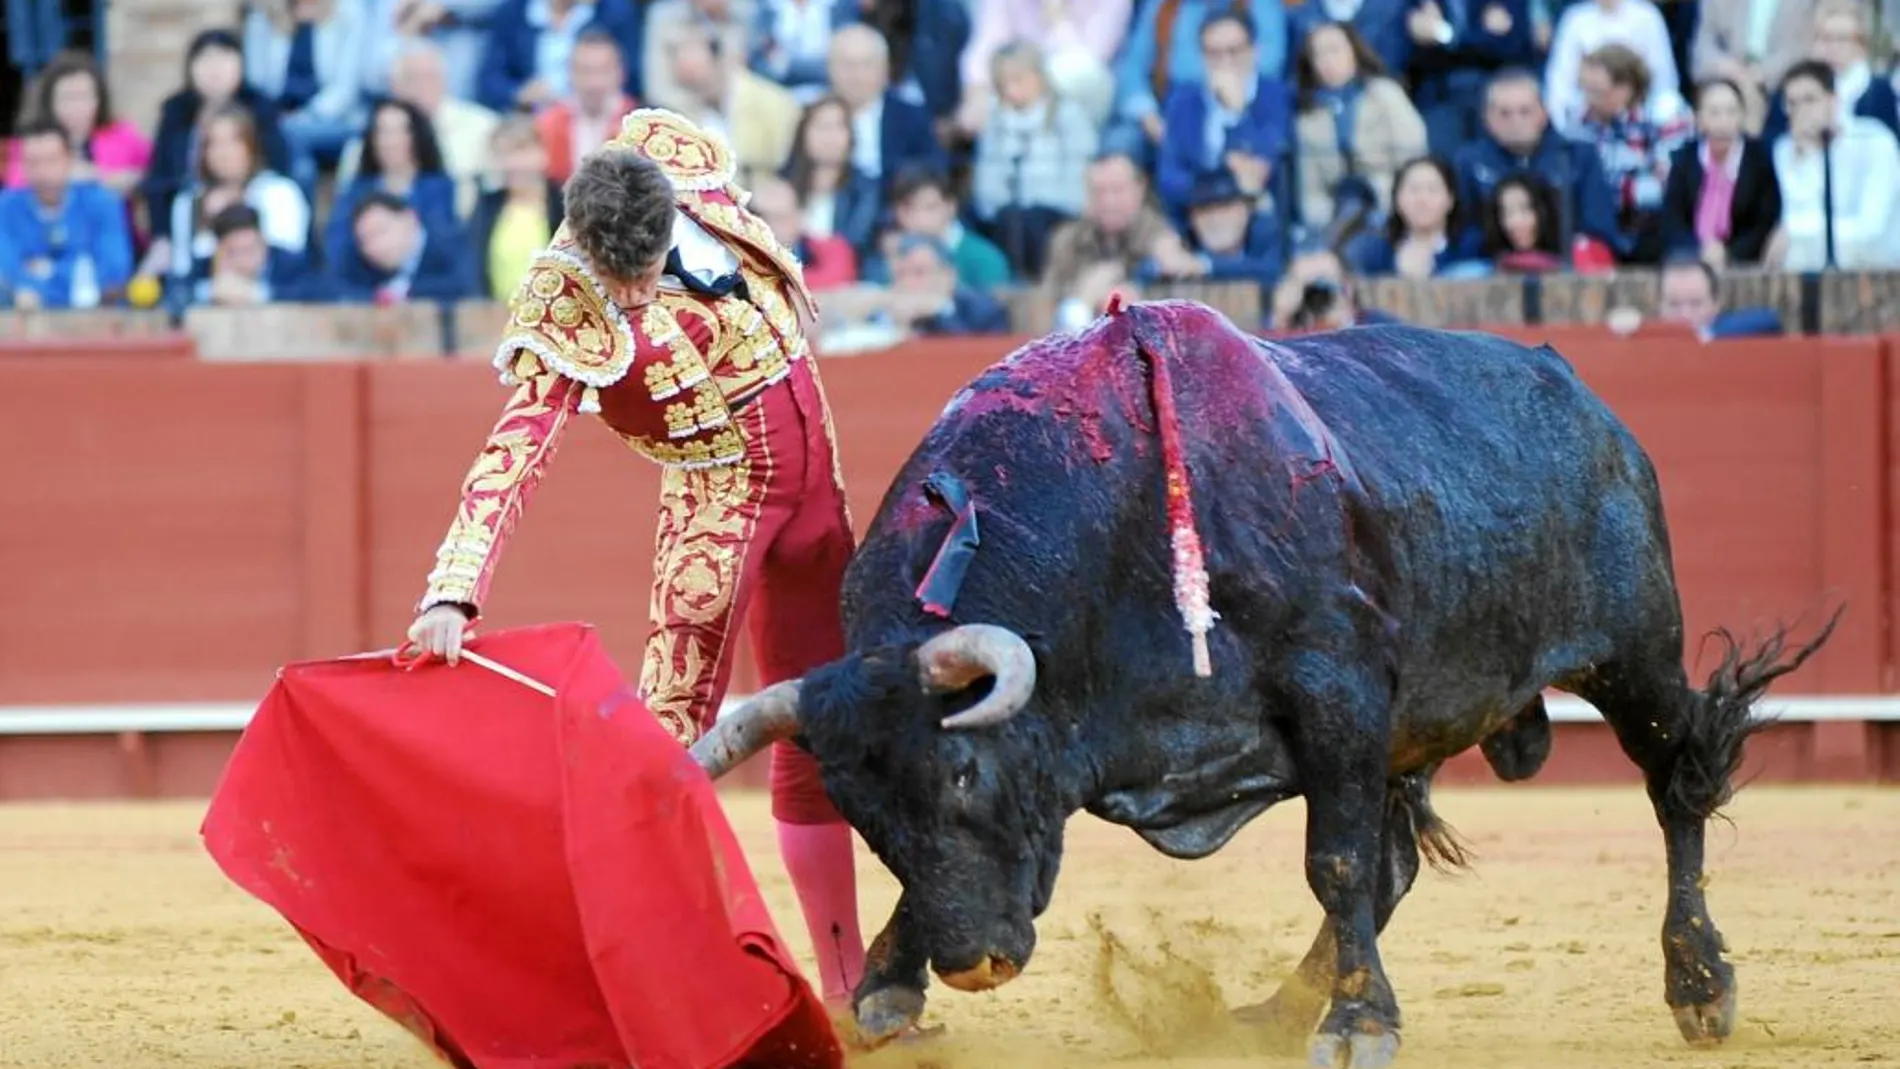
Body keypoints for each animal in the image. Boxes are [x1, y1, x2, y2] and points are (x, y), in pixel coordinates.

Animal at [691, 301, 1831, 1069]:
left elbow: (1333, 861)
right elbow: (1357, 866)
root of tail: (1583, 397)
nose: (974, 962)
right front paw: (884, 986)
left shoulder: (1338, 692)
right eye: (859, 809)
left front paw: (1362, 1024)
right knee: (1397, 864)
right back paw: (1281, 1011)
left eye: (964, 772)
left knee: (1676, 781)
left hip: (1633, 654)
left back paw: (1698, 981)